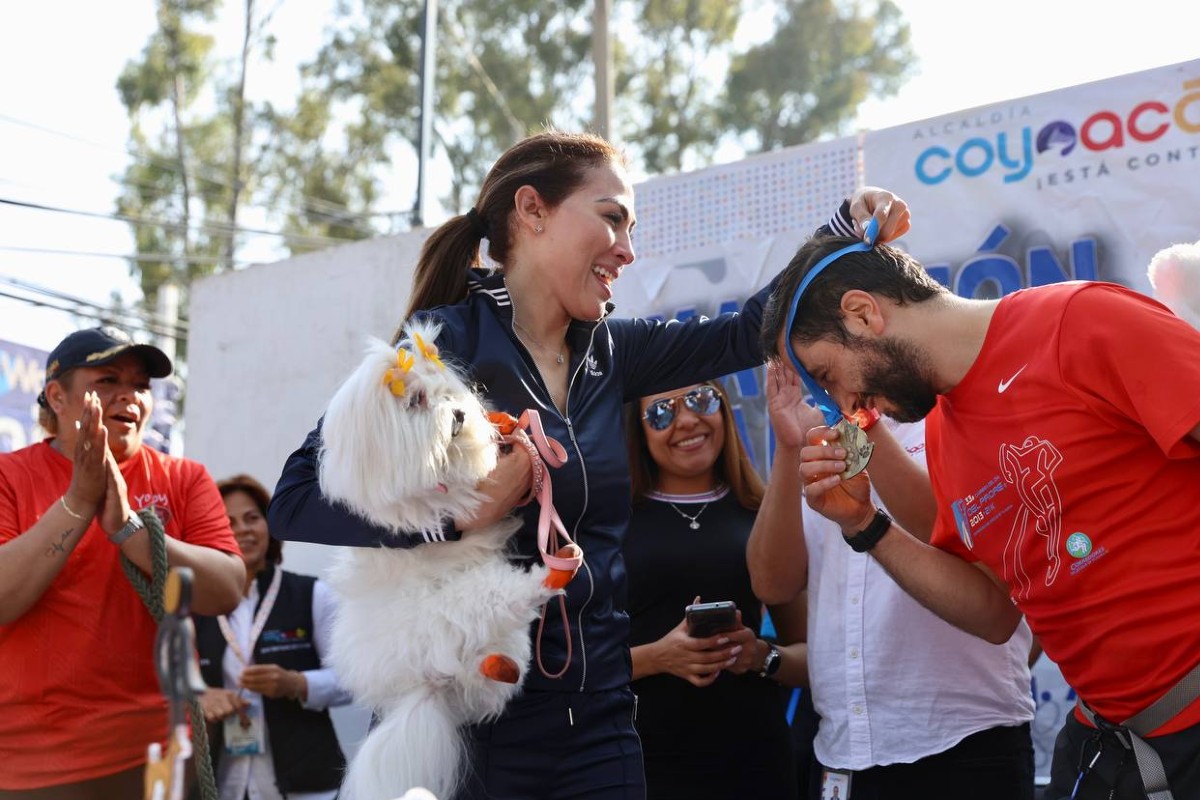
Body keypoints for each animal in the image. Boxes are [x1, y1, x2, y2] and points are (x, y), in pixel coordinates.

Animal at [316, 321, 573, 800]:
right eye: (415, 401)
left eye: (447, 394)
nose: (458, 416)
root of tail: (428, 682)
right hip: (457, 606)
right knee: (501, 600)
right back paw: (551, 575)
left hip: (490, 637)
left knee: (493, 666)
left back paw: (502, 664)